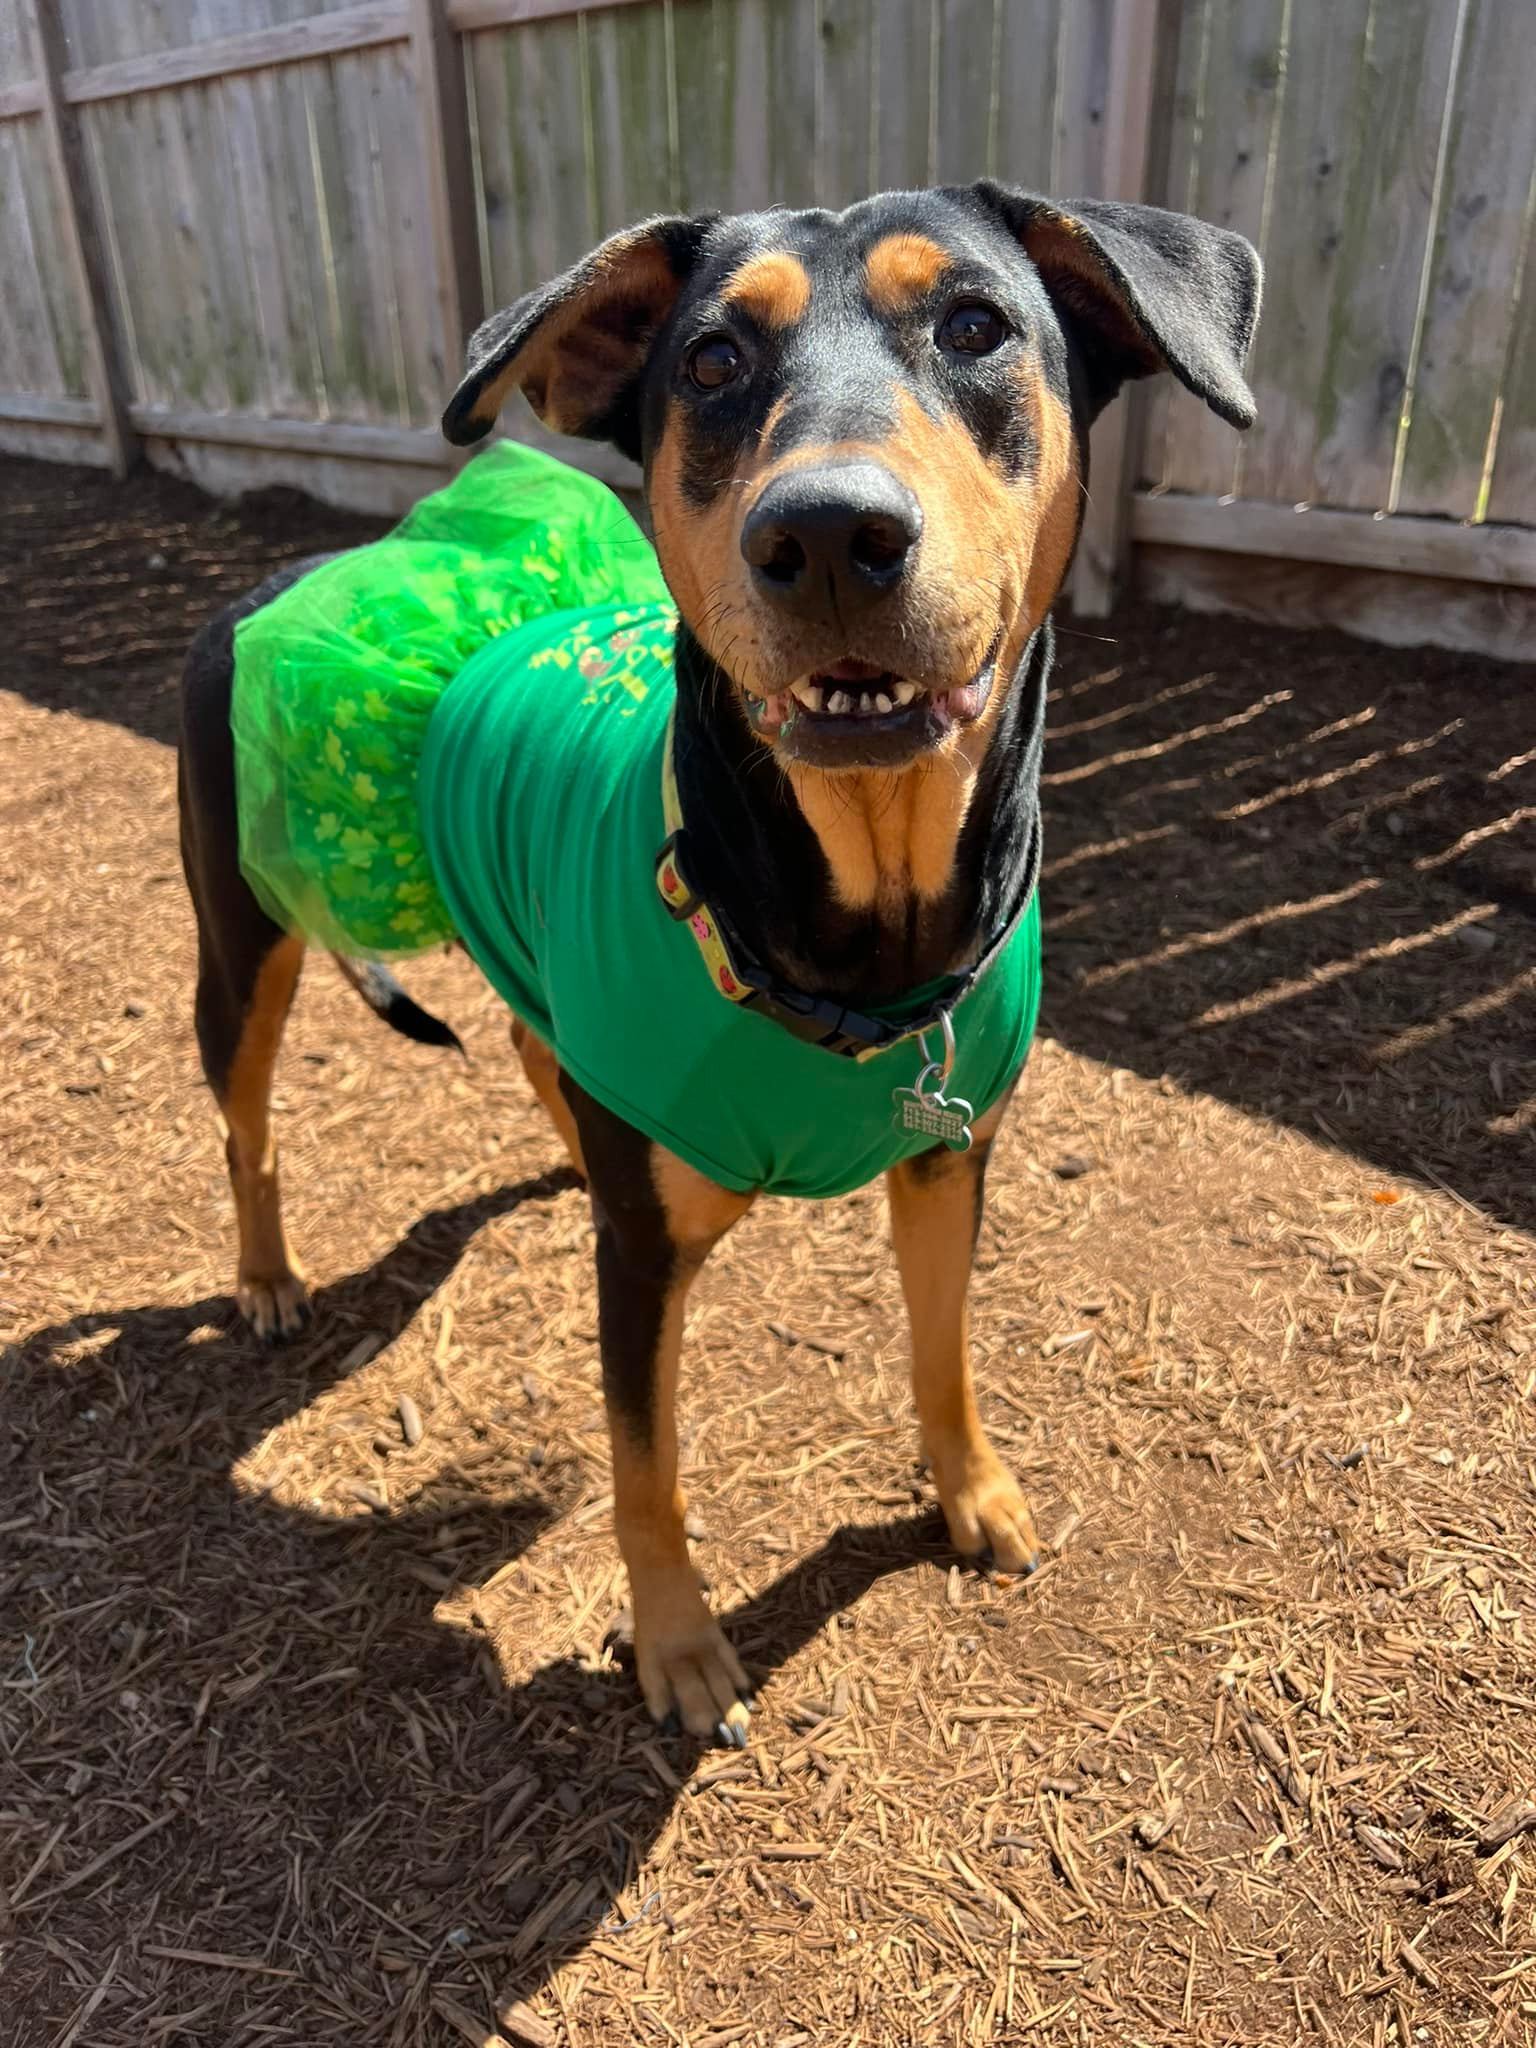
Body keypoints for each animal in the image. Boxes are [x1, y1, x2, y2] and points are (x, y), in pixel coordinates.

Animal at [180, 184, 1261, 1744]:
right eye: (708, 361)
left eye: (976, 324)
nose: (828, 532)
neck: (862, 915)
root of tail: (298, 571)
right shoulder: (636, 1267)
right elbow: (646, 1465)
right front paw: (680, 1647)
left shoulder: (952, 1157)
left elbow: (944, 1345)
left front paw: (973, 1492)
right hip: (243, 935)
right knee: (248, 1117)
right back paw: (267, 1273)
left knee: (534, 1042)